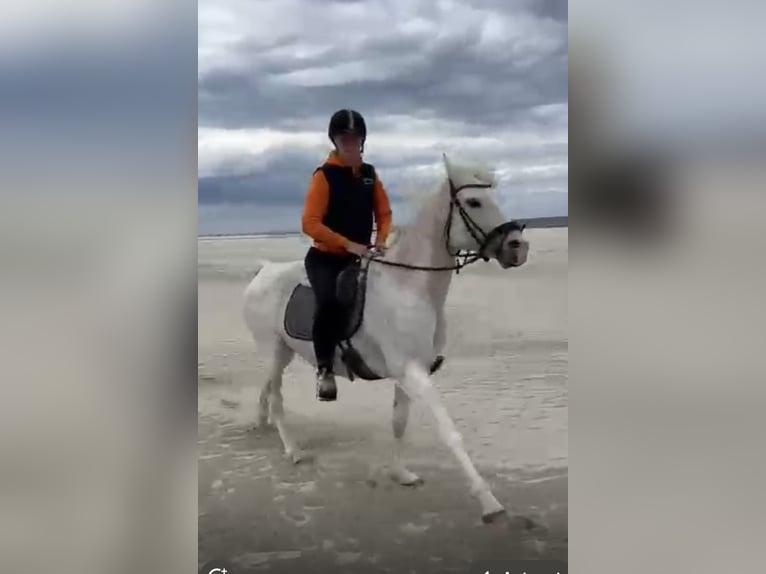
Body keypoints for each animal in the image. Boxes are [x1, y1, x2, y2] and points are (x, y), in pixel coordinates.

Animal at [243, 153, 532, 528]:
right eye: (473, 201)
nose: (519, 247)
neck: (409, 286)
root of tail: (264, 269)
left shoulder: (409, 372)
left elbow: (399, 422)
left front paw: (401, 473)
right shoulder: (413, 373)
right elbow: (449, 432)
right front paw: (489, 502)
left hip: (282, 353)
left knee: (266, 390)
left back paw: (262, 424)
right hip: (274, 351)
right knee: (277, 397)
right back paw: (293, 451)